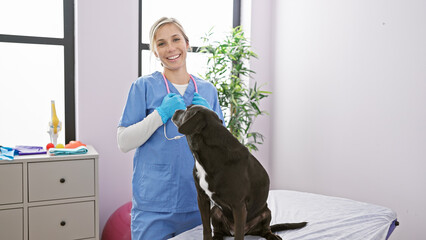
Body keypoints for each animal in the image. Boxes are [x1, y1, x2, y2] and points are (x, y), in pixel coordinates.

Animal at [171, 105, 308, 240]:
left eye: (187, 109)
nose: (176, 110)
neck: (209, 155)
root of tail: (250, 231)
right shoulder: (202, 198)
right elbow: (206, 229)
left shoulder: (238, 206)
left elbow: (238, 234)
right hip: (215, 211)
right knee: (218, 231)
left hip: (266, 213)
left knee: (265, 230)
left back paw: (273, 236)